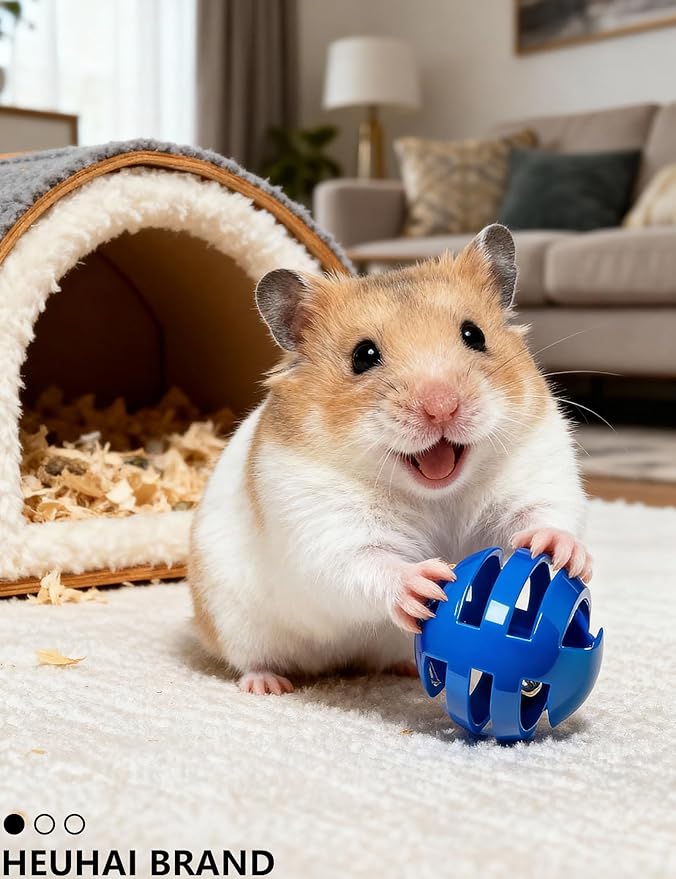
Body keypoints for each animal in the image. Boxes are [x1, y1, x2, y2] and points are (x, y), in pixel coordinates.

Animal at [189, 224, 591, 695]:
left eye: (474, 335)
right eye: (363, 356)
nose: (441, 408)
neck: (437, 494)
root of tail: (337, 662)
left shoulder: (537, 468)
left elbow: (544, 515)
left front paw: (562, 554)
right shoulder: (322, 527)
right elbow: (364, 562)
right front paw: (426, 585)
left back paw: (407, 672)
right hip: (233, 622)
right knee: (254, 659)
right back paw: (268, 685)